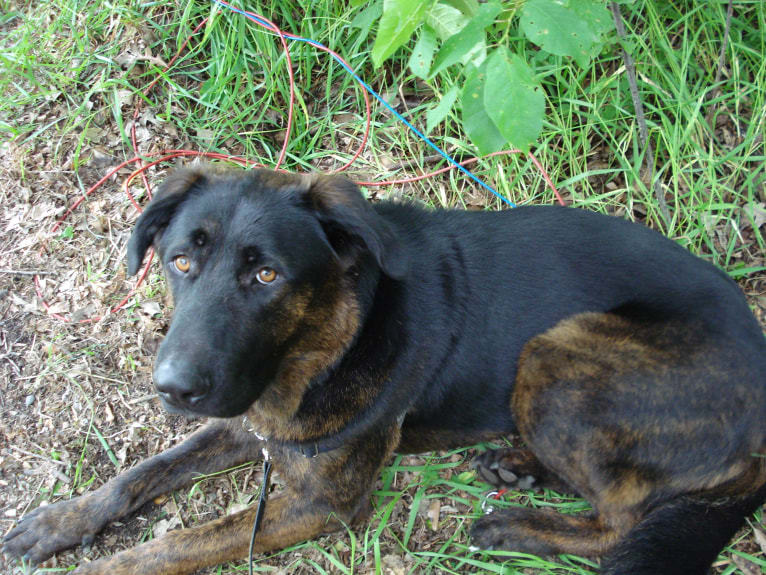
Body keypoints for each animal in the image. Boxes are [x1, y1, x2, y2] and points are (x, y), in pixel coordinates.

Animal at [6, 166, 766, 575]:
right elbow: (143, 472)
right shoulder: (249, 419)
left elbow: (178, 543)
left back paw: (515, 525)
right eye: (180, 262)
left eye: (266, 274)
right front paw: (60, 522)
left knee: (621, 518)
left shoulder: (321, 502)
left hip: (560, 352)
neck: (332, 340)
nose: (173, 388)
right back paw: (518, 466)